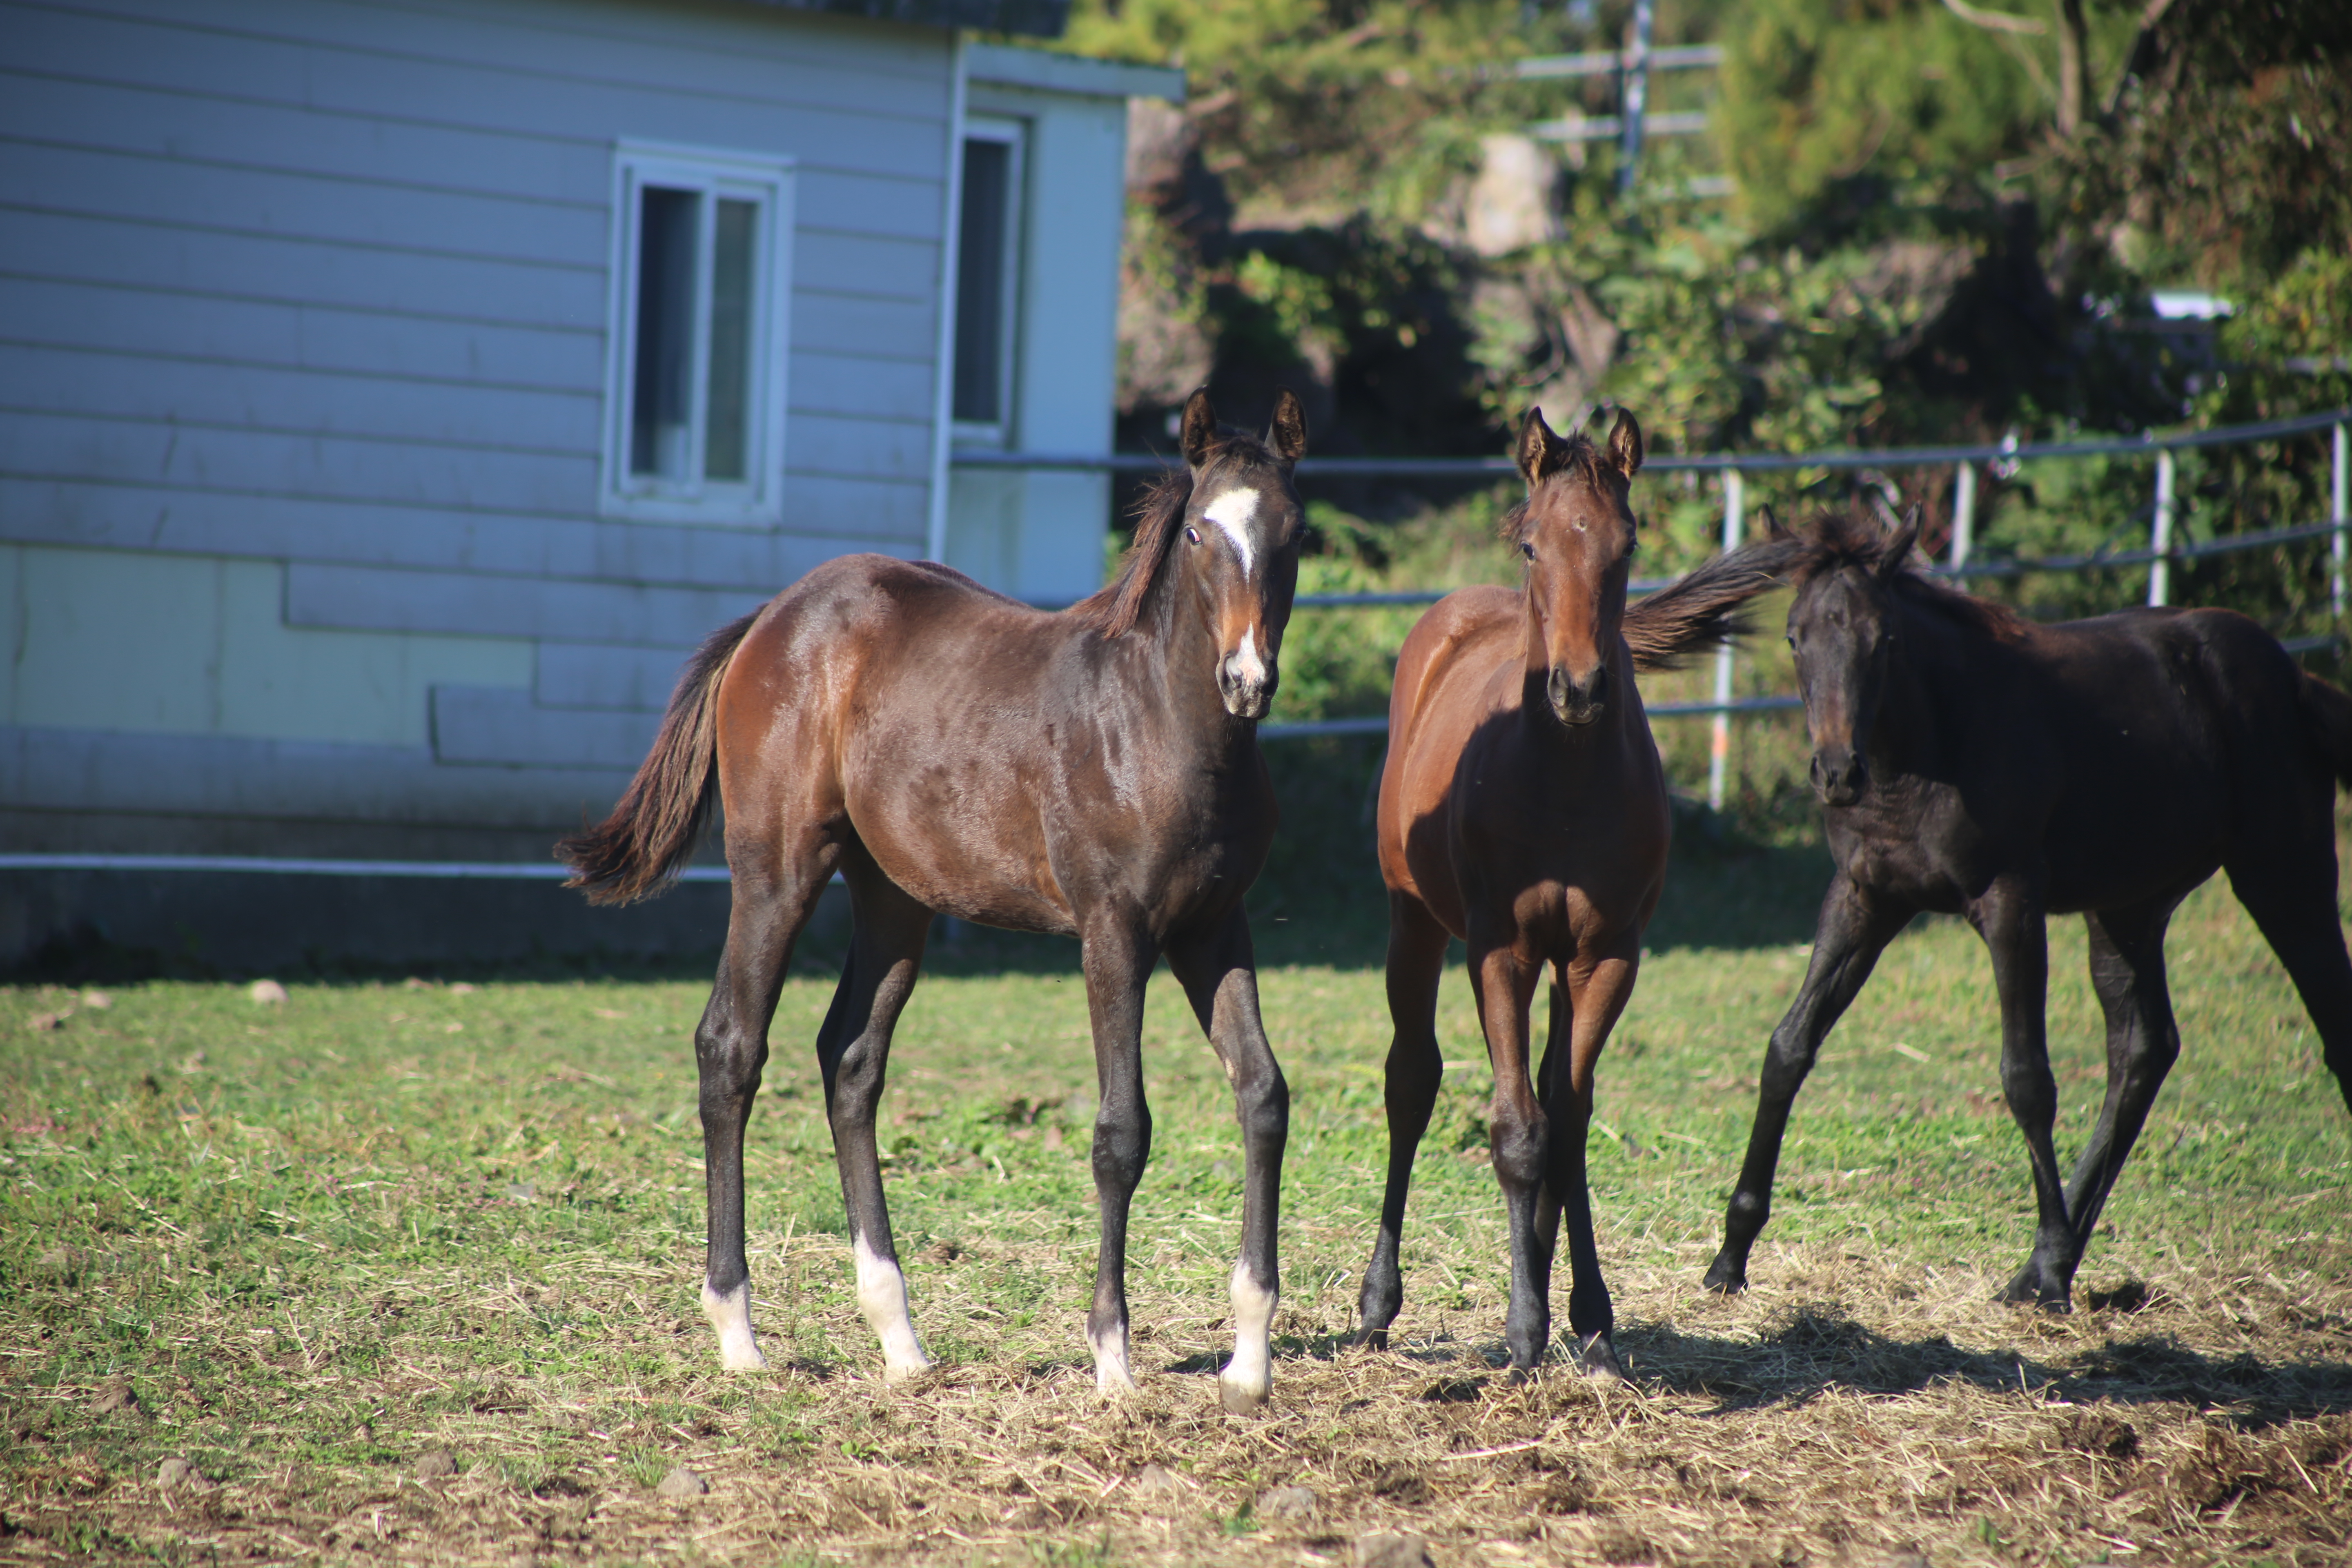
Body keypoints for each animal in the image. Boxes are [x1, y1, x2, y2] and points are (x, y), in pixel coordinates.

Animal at [562, 390, 1317, 1410]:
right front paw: (1113, 1360)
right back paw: (739, 1334)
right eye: (1199, 531)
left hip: (896, 902)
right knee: (731, 1048)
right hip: (778, 873)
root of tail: (772, 618)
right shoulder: (1114, 933)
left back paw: (900, 1338)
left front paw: (1249, 1359)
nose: (1247, 680)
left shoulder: (1214, 927)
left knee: (850, 1062)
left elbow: (1263, 1095)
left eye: (1293, 531)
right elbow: (1122, 1131)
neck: (1163, 729)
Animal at [1354, 411, 1787, 1382]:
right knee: (1412, 1082)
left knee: (1555, 1100)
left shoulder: (1605, 956)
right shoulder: (1500, 951)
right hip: (1412, 921)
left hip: (1557, 964)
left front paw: (1589, 1319)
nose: (1580, 689)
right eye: (1531, 544)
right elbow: (1517, 1131)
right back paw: (1376, 1308)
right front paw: (1522, 1334)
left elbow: (1571, 1127)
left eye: (1628, 546)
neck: (1559, 781)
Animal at [1712, 510, 2352, 1307]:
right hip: (2129, 906)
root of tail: (2294, 676)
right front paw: (1730, 1256)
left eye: (1883, 639)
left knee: (2331, 1024)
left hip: (2284, 871)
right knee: (2143, 1049)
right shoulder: (1863, 898)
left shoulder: (2011, 902)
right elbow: (1787, 1049)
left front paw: (2047, 1263)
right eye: (1795, 637)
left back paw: (2050, 1265)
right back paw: (2050, 1262)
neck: (1923, 752)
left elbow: (2027, 1078)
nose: (1836, 773)